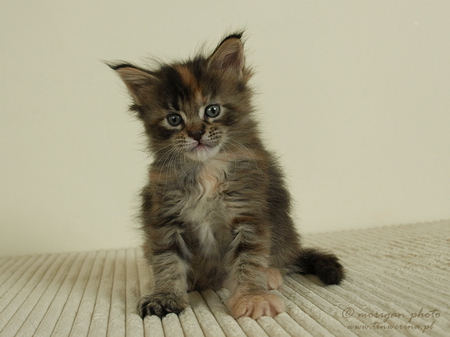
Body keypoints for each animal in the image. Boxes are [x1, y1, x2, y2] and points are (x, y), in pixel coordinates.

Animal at [110, 32, 342, 318]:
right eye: (174, 119)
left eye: (212, 110)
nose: (196, 134)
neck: (206, 169)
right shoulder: (164, 215)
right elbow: (167, 260)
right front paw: (165, 295)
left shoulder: (248, 211)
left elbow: (248, 259)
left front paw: (252, 296)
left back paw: (270, 274)